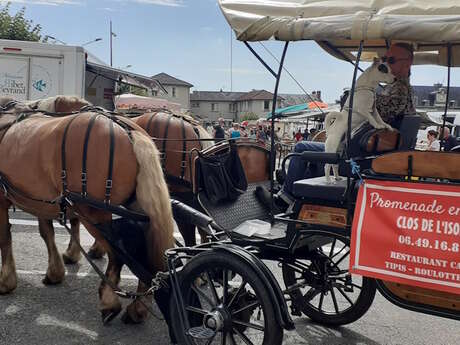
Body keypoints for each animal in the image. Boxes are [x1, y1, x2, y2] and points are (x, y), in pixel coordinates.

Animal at [0, 97, 175, 322]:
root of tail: (128, 130)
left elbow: (5, 237)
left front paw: (6, 281)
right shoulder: (40, 200)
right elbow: (47, 233)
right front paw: (56, 271)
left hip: (93, 213)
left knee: (119, 255)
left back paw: (110, 302)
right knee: (144, 253)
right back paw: (137, 309)